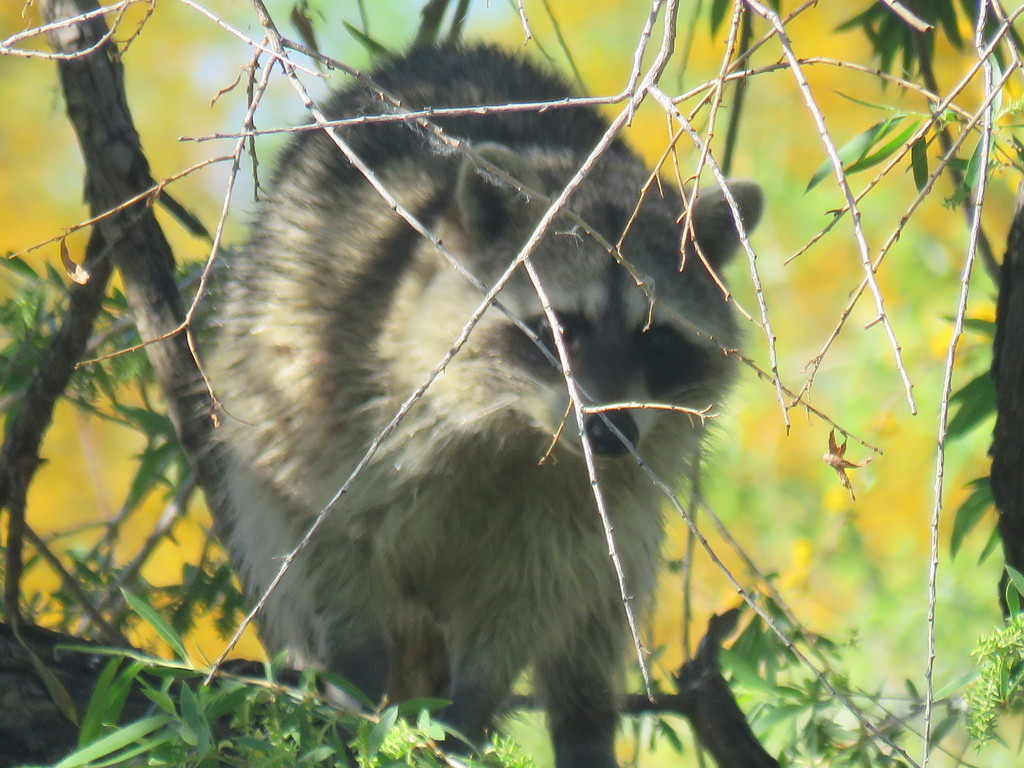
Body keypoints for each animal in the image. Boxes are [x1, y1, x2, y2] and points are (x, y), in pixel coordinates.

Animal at [208, 45, 762, 768]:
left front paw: (469, 710)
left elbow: (537, 596)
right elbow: (331, 546)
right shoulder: (336, 394)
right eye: (562, 328)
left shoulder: (589, 501)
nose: (609, 433)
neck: (519, 429)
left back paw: (583, 720)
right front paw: (357, 687)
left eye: (657, 338)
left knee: (600, 607)